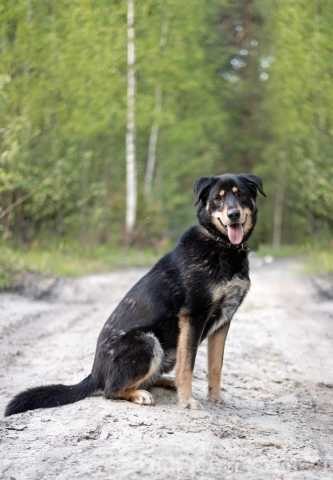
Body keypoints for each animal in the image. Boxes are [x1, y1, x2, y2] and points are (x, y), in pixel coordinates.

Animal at [5, 173, 264, 416]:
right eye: (217, 198)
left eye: (240, 194)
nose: (233, 214)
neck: (222, 246)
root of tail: (95, 374)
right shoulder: (194, 316)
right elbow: (188, 365)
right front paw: (187, 401)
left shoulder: (223, 322)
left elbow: (215, 366)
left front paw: (215, 398)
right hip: (148, 341)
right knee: (111, 390)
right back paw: (140, 394)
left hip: (164, 351)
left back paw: (166, 384)